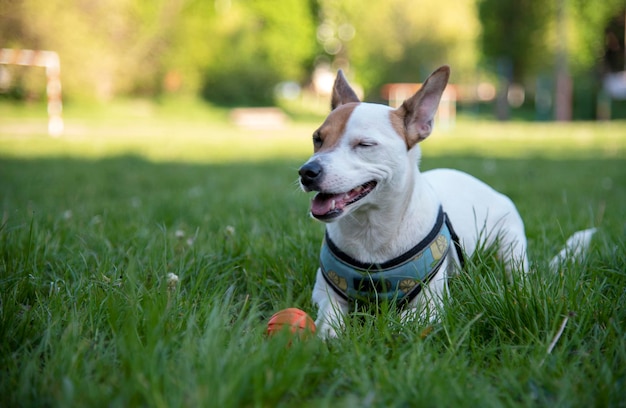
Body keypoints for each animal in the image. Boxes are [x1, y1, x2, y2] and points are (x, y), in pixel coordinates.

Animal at [300, 64, 592, 338]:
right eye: (317, 138)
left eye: (365, 145)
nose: (307, 172)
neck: (371, 231)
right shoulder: (324, 292)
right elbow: (329, 313)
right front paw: (328, 332)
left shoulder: (430, 306)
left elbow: (398, 321)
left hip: (511, 247)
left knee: (516, 275)